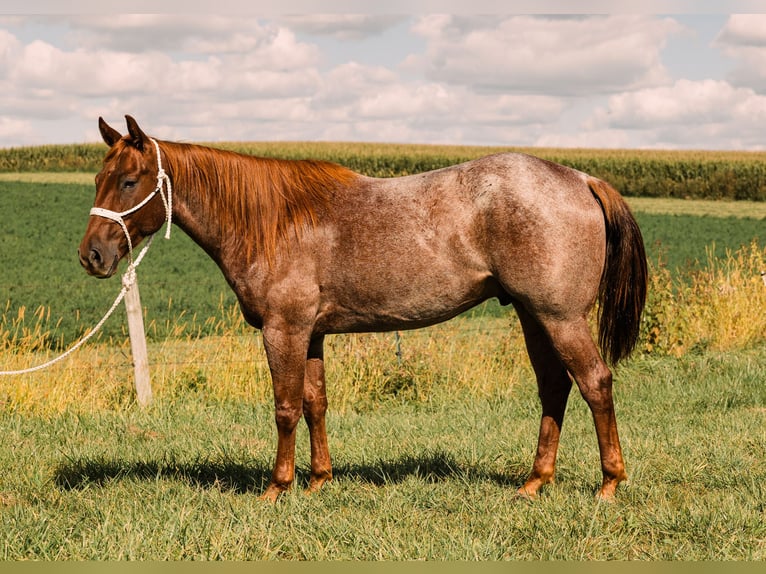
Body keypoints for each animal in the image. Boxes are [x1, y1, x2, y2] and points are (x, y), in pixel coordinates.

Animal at [79, 115, 648, 502]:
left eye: (129, 181)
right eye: (98, 180)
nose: (92, 256)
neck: (274, 221)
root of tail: (581, 179)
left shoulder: (283, 330)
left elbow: (285, 407)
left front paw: (277, 487)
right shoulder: (310, 333)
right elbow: (315, 404)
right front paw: (318, 481)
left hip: (560, 317)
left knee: (595, 383)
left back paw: (608, 484)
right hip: (534, 316)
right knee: (555, 387)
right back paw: (534, 482)